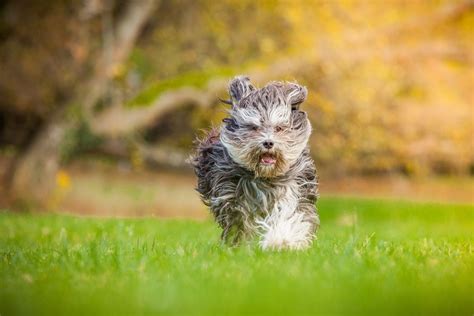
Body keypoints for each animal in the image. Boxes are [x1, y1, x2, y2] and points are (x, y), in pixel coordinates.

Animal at [192, 76, 318, 249]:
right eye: (254, 128)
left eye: (279, 128)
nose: (268, 143)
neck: (265, 177)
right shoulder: (230, 193)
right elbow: (241, 220)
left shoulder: (295, 186)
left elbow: (289, 213)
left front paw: (280, 240)